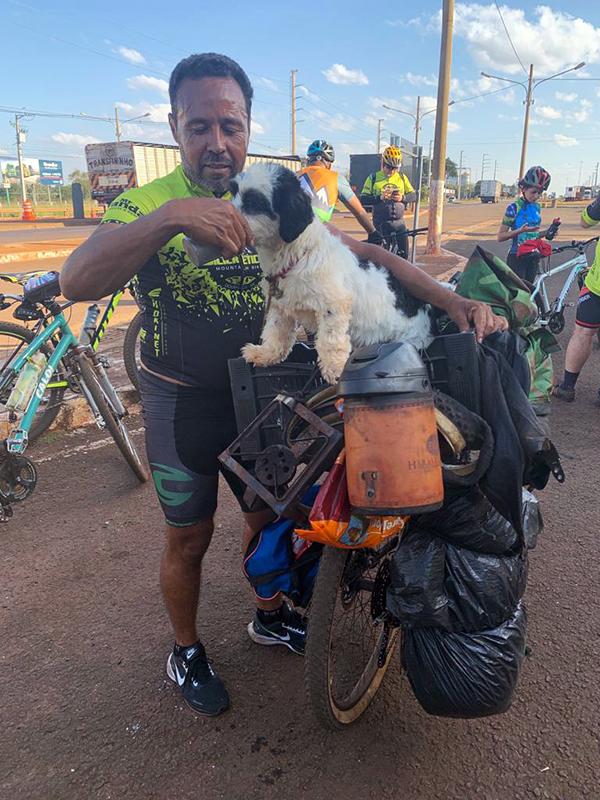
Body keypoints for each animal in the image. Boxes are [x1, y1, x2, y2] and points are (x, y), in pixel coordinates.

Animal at [231, 161, 436, 382]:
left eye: (254, 202)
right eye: (233, 191)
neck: (298, 257)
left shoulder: (334, 306)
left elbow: (330, 340)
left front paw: (335, 370)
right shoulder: (281, 306)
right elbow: (277, 333)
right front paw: (265, 354)